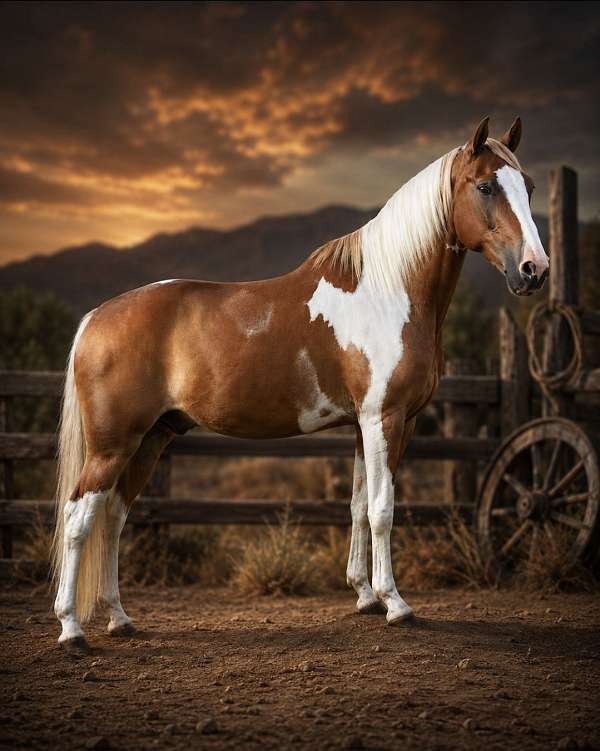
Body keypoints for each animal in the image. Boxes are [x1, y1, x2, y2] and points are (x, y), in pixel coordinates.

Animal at [51, 116, 548, 653]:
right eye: (485, 186)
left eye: (529, 186)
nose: (534, 270)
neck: (389, 292)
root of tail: (95, 318)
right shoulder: (386, 418)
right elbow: (383, 508)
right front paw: (395, 603)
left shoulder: (367, 425)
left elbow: (357, 505)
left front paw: (365, 597)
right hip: (113, 445)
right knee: (79, 517)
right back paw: (71, 628)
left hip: (151, 439)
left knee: (113, 517)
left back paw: (119, 618)